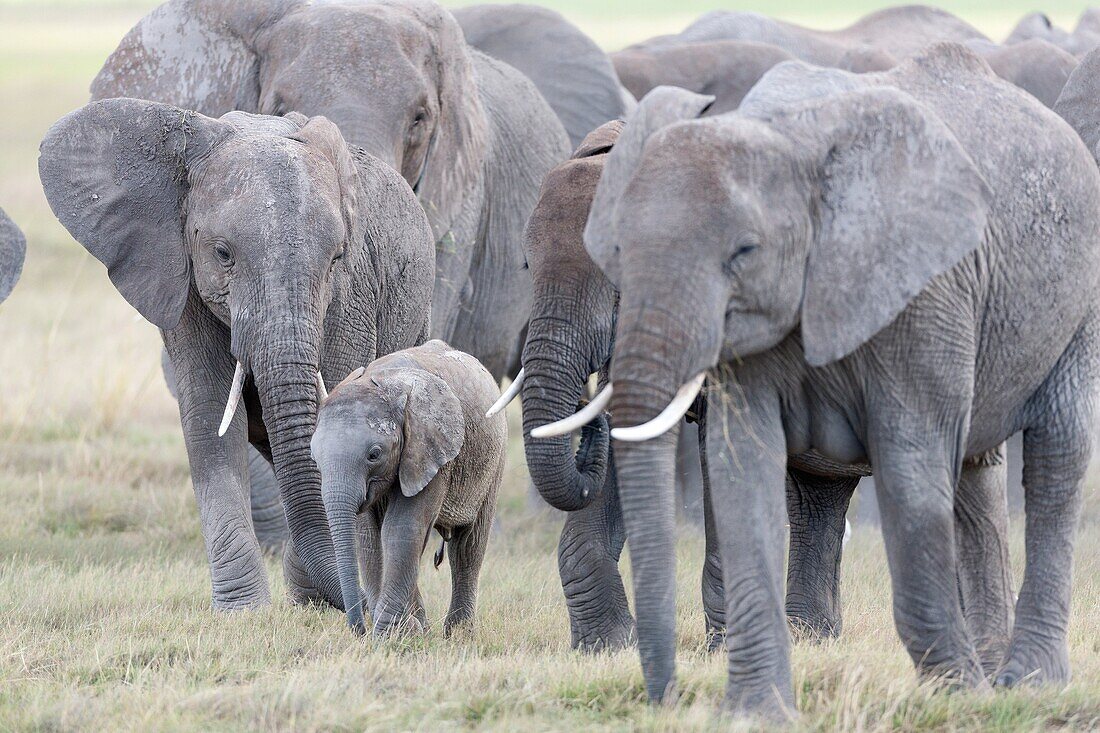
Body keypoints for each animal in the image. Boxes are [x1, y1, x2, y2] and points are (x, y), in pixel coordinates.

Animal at [312, 341, 508, 633]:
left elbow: (402, 529)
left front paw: (388, 634)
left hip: (493, 457)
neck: (386, 383)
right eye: (314, 457)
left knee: (468, 545)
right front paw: (405, 631)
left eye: (374, 454)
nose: (360, 630)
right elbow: (369, 536)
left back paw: (458, 634)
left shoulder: (432, 451)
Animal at [585, 42, 1100, 717]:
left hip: (1080, 295)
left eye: (744, 252)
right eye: (619, 251)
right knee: (976, 468)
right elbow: (742, 471)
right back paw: (995, 673)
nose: (667, 697)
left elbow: (910, 470)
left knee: (1056, 458)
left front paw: (954, 698)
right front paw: (758, 714)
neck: (788, 139)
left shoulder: (922, 289)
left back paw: (1027, 683)